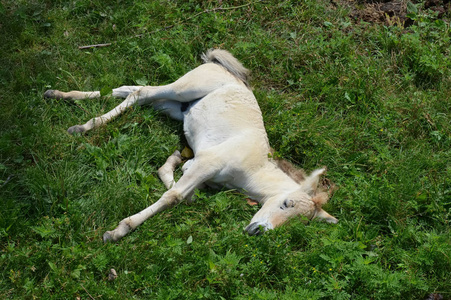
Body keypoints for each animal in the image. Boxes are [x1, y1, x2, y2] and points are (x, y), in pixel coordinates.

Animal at [44, 48, 338, 241]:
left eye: (296, 224)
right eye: (286, 204)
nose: (257, 231)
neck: (252, 167)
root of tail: (221, 66)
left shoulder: (202, 174)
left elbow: (184, 192)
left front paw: (172, 162)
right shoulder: (207, 164)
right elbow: (174, 196)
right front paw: (118, 230)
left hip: (173, 107)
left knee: (128, 91)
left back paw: (60, 97)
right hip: (184, 89)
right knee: (142, 91)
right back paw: (82, 124)